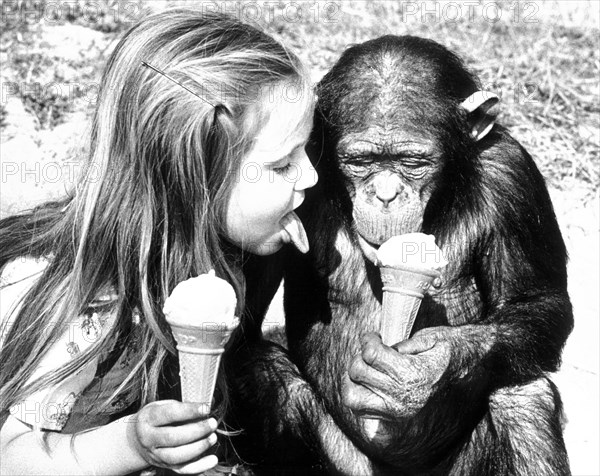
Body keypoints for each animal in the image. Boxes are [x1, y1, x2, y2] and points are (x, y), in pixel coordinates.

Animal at [224, 34, 572, 476]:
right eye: (360, 161)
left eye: (412, 161)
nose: (386, 194)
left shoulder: (513, 176)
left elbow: (538, 301)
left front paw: (425, 373)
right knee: (261, 372)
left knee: (523, 396)